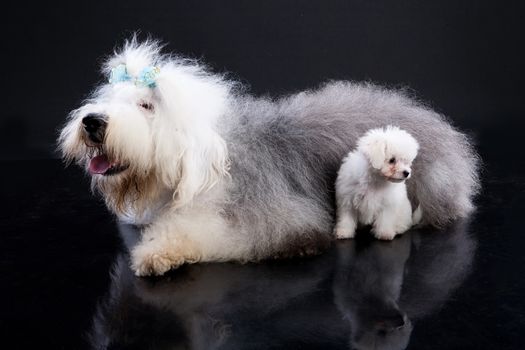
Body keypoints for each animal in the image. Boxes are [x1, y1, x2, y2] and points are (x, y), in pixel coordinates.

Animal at [57, 39, 478, 276]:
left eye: (146, 105)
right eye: (111, 99)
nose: (92, 122)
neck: (205, 159)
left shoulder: (272, 218)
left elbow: (214, 234)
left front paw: (157, 253)